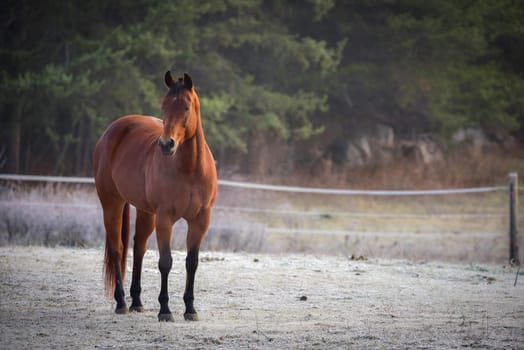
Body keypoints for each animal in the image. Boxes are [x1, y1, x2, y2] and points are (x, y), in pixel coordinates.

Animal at [92, 71, 217, 322]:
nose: (166, 144)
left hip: (145, 212)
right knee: (117, 248)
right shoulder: (165, 219)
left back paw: (137, 302)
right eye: (164, 106)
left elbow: (192, 262)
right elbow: (166, 262)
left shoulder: (200, 220)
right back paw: (121, 303)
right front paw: (165, 310)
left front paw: (190, 309)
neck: (190, 168)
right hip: (112, 205)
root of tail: (113, 130)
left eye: (186, 107)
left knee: (138, 248)